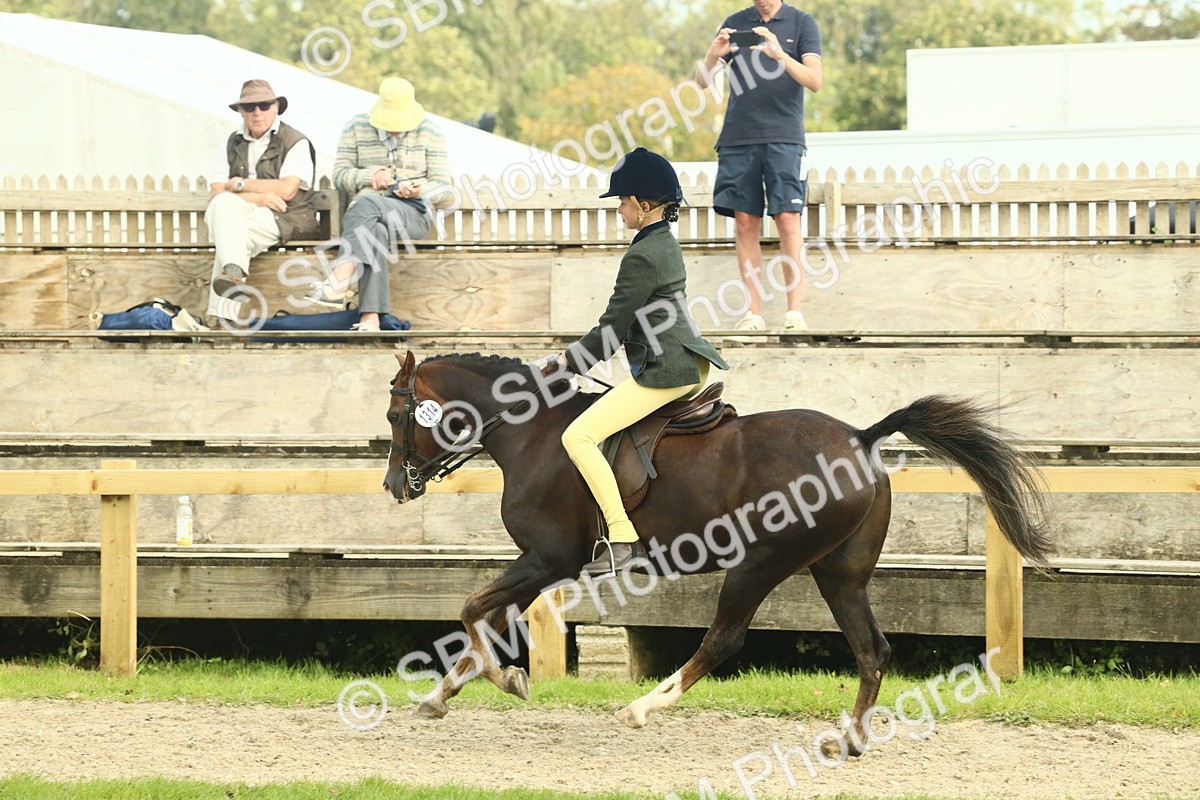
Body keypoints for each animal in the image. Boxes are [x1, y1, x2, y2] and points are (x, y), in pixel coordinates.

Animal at [383, 350, 1051, 753]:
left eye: (395, 414)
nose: (395, 486)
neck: (531, 433)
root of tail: (860, 438)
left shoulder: (547, 561)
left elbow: (473, 609)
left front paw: (502, 679)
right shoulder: (539, 567)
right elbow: (486, 620)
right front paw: (444, 695)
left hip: (760, 564)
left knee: (724, 638)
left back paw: (642, 708)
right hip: (839, 573)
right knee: (871, 648)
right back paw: (851, 740)